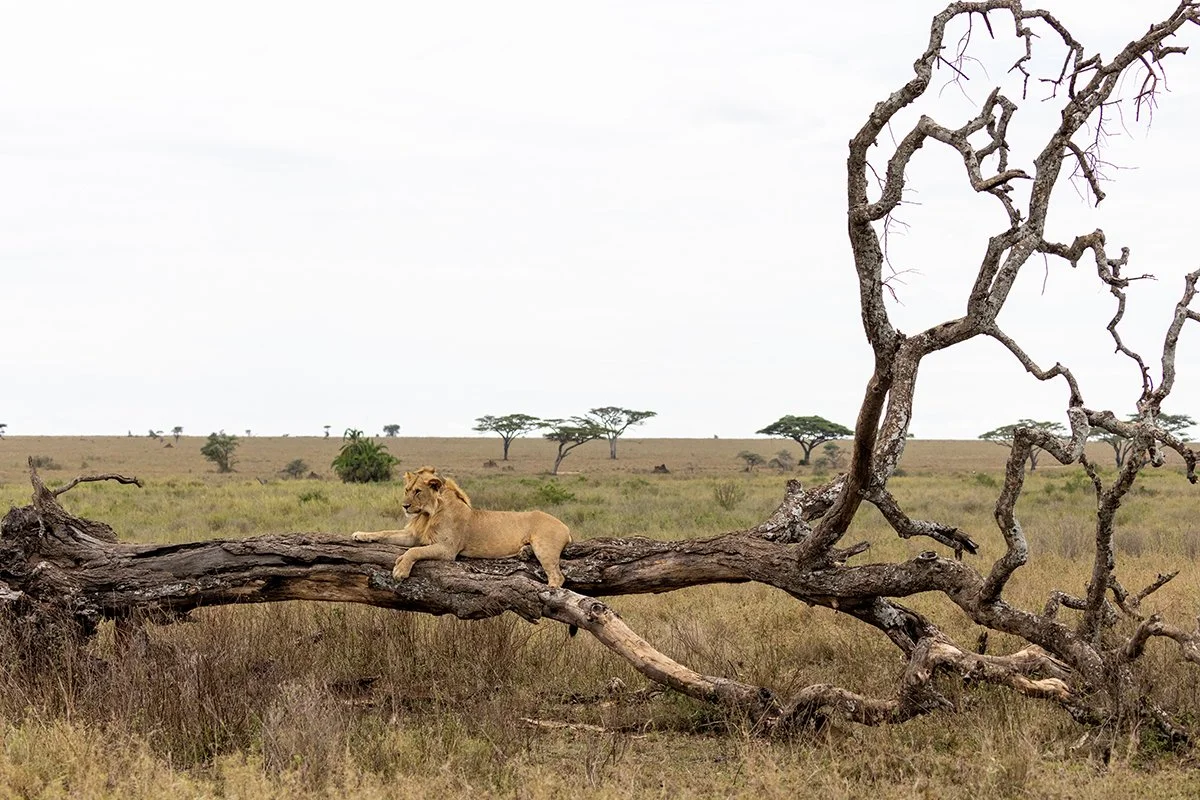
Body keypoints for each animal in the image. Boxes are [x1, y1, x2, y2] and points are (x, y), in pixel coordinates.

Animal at [351, 467, 571, 587]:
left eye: (418, 491)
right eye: (406, 490)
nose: (404, 506)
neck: (428, 514)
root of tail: (565, 526)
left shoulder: (447, 550)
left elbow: (414, 551)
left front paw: (400, 570)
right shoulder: (413, 535)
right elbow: (384, 532)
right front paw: (360, 535)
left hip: (545, 547)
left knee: (557, 577)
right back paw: (524, 552)